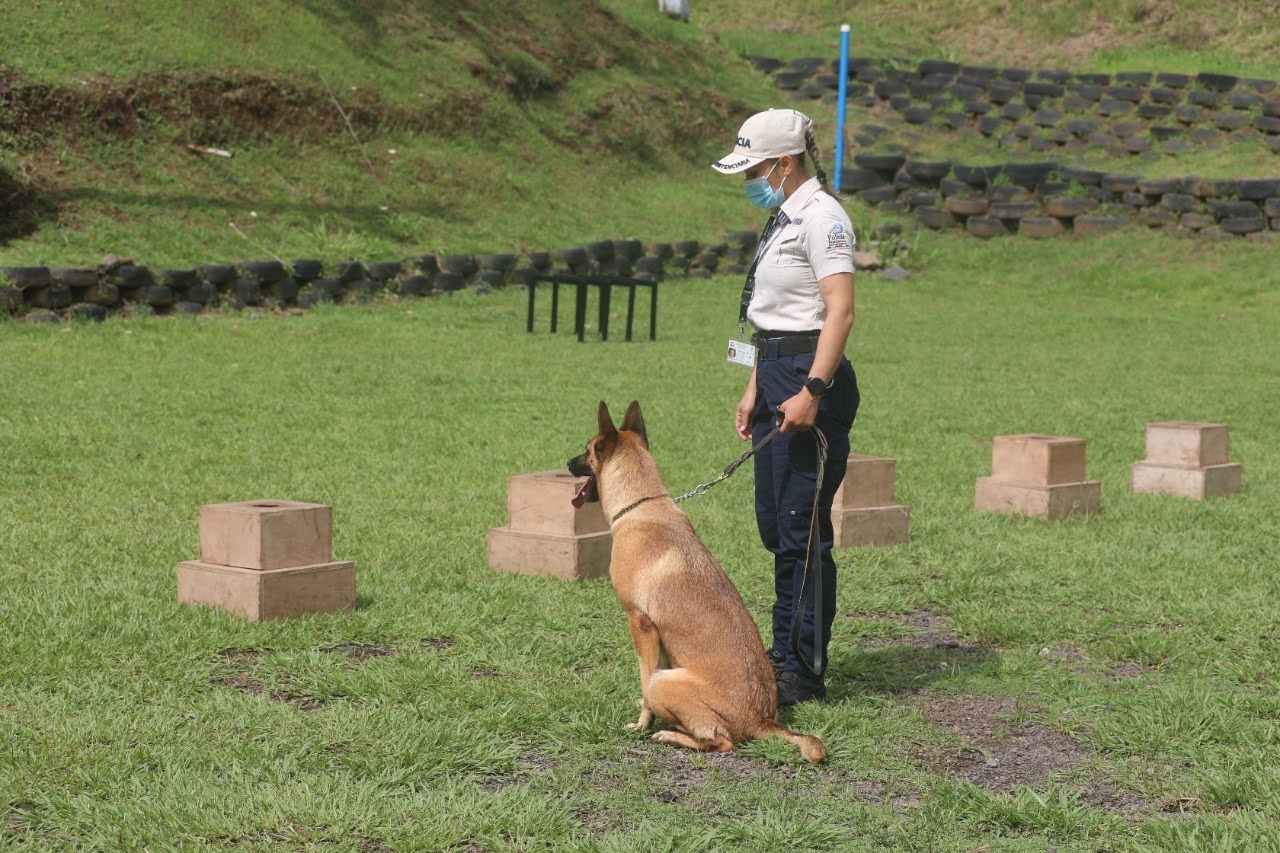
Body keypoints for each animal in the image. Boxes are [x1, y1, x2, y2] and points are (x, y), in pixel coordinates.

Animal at [565, 402, 824, 758]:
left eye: (588, 449)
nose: (566, 463)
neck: (641, 504)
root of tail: (763, 720)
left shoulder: (640, 624)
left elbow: (644, 679)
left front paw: (642, 724)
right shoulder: (656, 635)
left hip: (666, 682)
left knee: (720, 741)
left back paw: (669, 735)